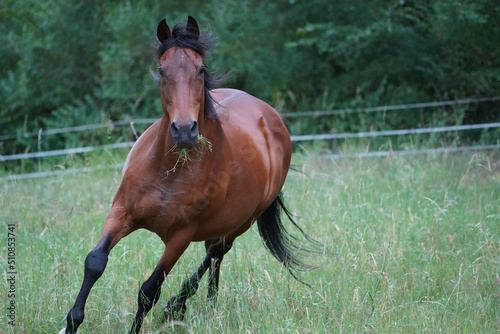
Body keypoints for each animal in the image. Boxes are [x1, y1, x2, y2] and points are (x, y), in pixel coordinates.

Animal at [60, 16, 314, 334]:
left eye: (200, 69)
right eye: (162, 70)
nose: (184, 131)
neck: (167, 172)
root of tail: (270, 117)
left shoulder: (181, 235)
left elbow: (149, 290)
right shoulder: (121, 212)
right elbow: (95, 261)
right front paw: (71, 322)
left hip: (241, 222)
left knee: (215, 254)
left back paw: (179, 306)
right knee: (214, 259)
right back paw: (209, 303)